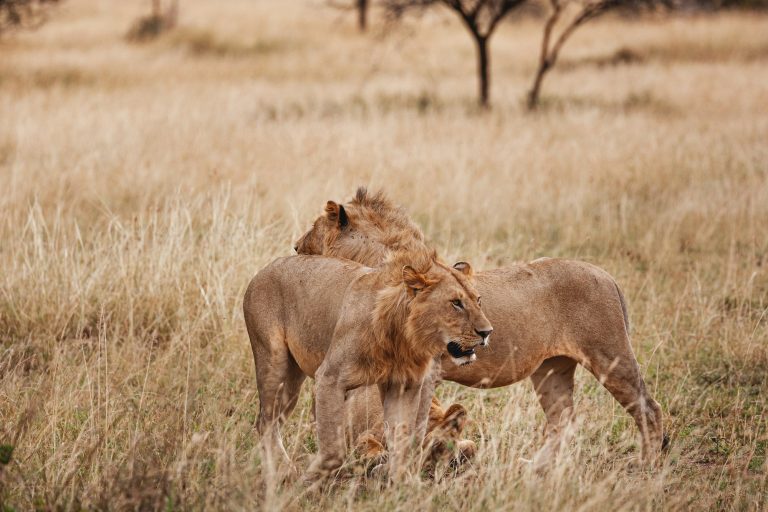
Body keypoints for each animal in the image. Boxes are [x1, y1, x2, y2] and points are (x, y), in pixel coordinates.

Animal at [296, 187, 668, 464]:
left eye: (313, 227)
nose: (295, 246)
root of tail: (607, 276)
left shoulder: (428, 373)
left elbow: (414, 425)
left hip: (610, 355)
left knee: (648, 409)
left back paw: (646, 466)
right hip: (552, 368)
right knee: (562, 421)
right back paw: (535, 470)